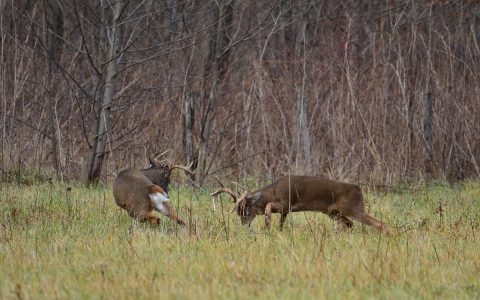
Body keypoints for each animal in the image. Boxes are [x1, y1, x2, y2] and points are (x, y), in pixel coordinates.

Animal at [210, 175, 386, 231]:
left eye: (246, 210)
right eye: (238, 213)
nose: (244, 225)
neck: (274, 191)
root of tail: (359, 190)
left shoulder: (286, 203)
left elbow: (269, 206)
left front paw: (267, 221)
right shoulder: (286, 212)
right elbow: (281, 225)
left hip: (354, 209)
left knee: (380, 224)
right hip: (333, 212)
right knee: (349, 224)